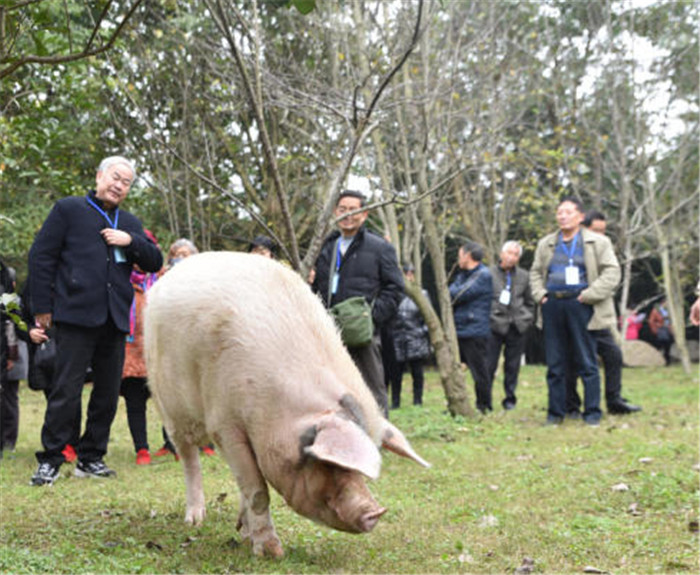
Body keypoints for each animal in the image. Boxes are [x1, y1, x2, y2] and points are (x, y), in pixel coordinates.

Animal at [144, 252, 430, 560]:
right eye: (328, 464)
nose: (374, 513)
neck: (274, 406)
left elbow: (248, 485)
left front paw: (247, 537)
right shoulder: (225, 424)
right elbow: (257, 490)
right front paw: (272, 553)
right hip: (168, 404)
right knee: (189, 458)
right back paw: (195, 520)